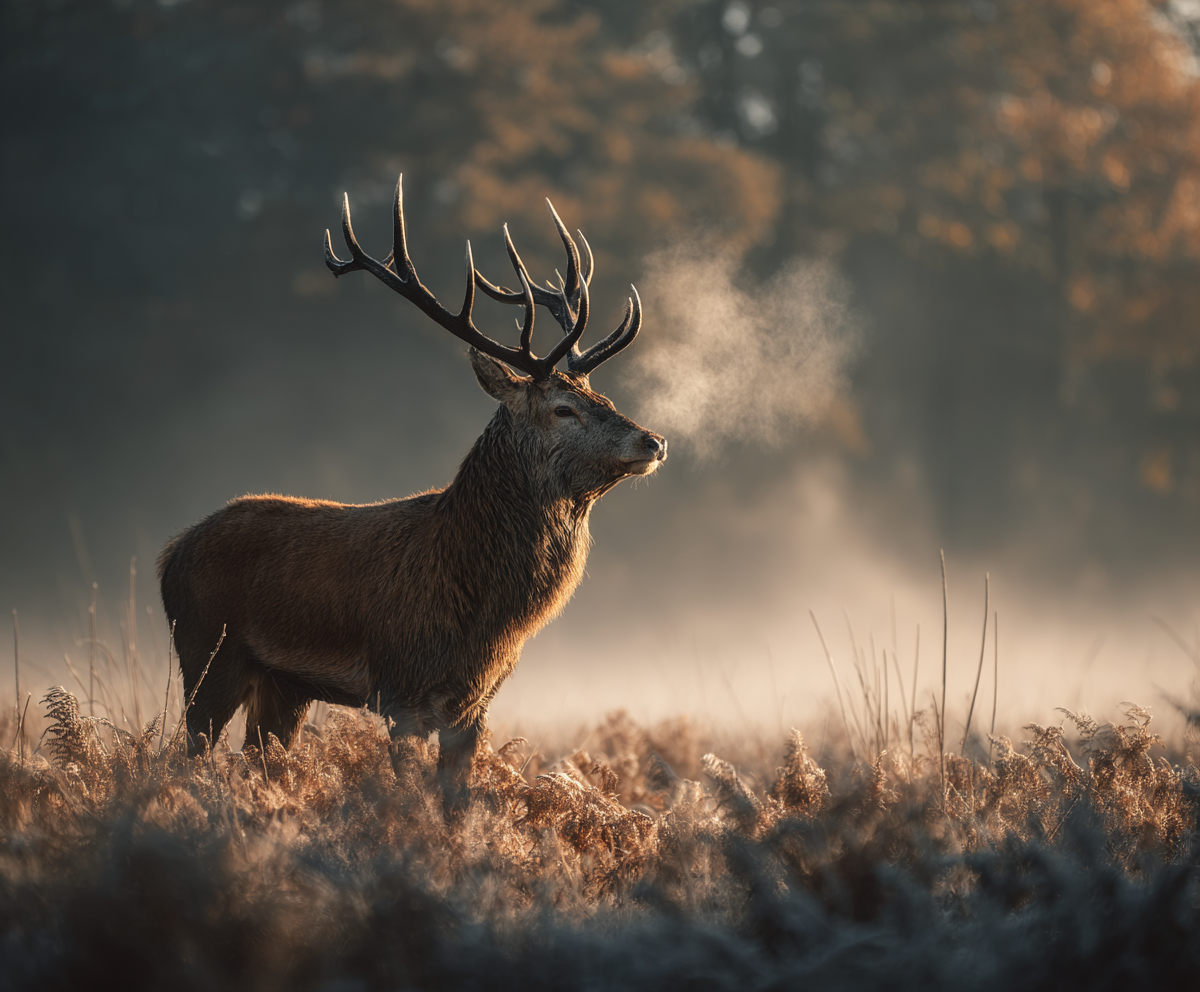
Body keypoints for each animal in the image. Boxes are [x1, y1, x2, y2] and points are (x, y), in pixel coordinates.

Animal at [157, 176, 666, 798]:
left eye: (605, 398)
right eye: (564, 409)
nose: (652, 441)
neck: (483, 615)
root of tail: (170, 554)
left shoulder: (475, 704)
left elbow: (455, 802)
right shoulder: (402, 691)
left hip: (283, 685)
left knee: (256, 758)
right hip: (207, 649)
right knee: (187, 755)